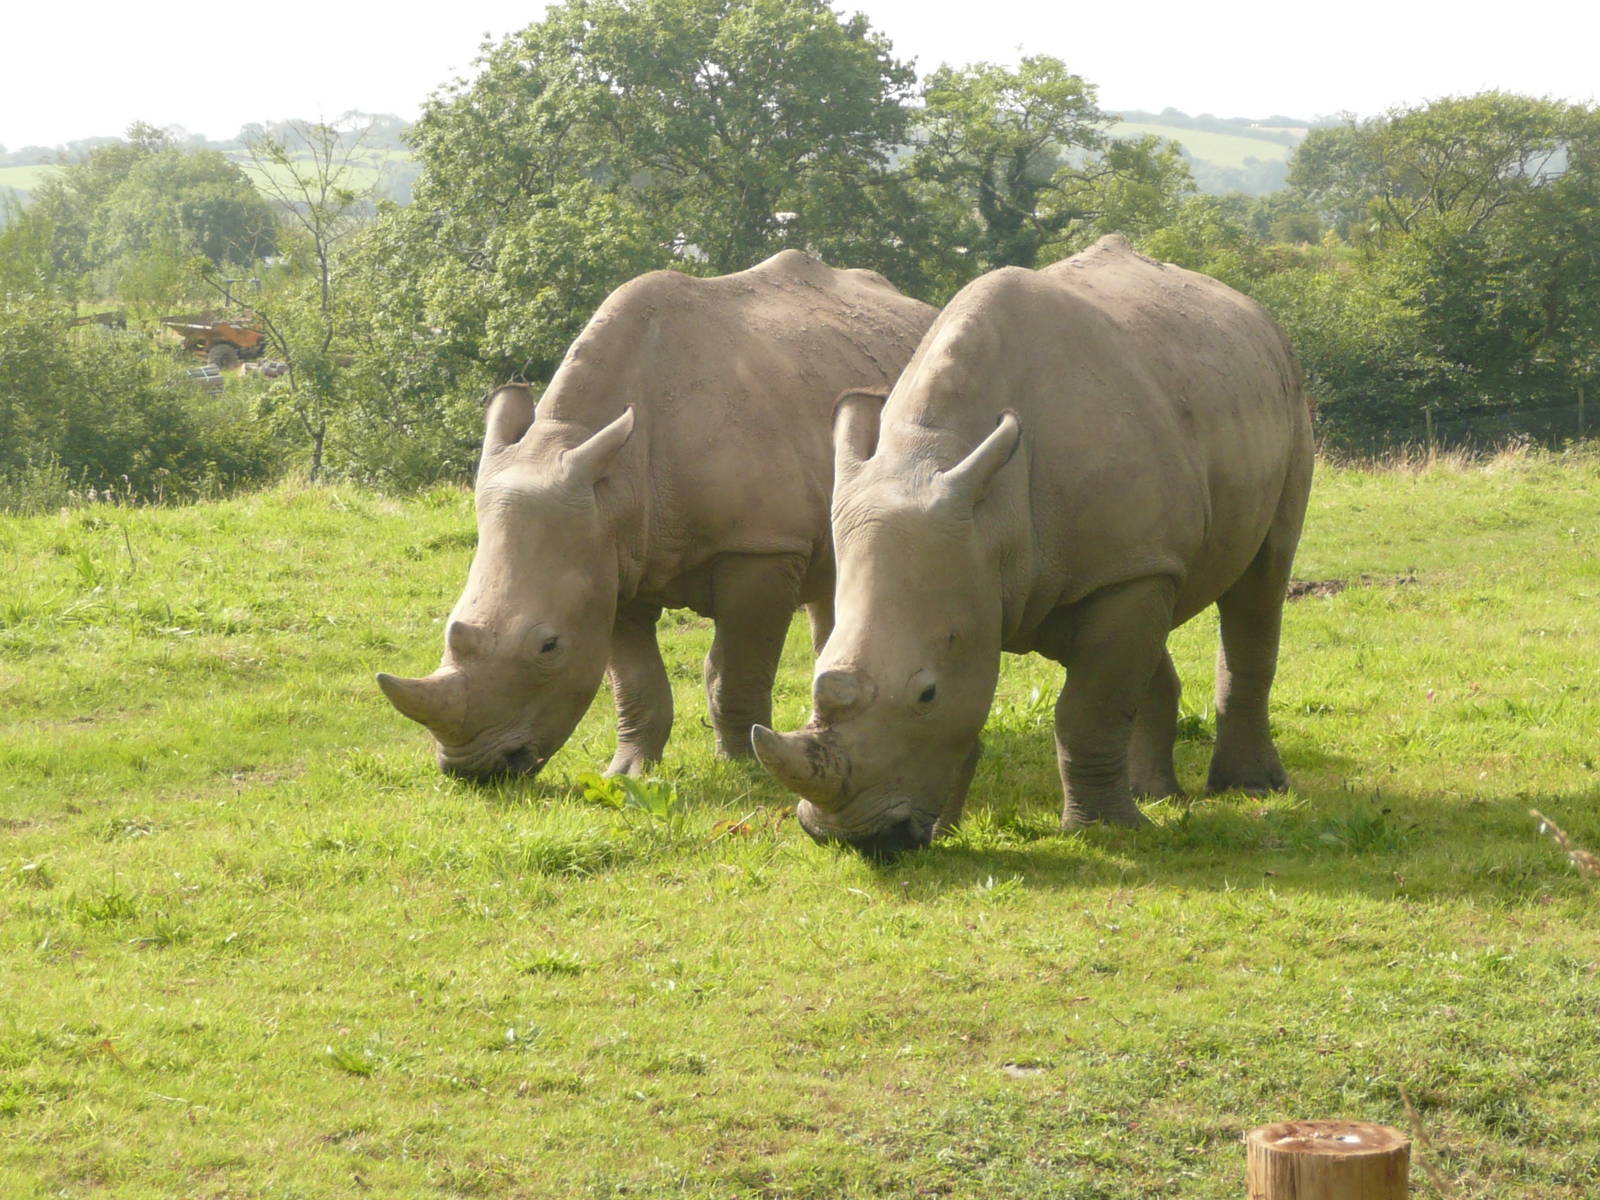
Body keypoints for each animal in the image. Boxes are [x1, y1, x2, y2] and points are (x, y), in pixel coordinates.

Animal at [377, 250, 936, 779]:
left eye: (549, 646)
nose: (473, 770)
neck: (614, 483)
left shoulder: (761, 545)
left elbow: (736, 669)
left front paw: (744, 764)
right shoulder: (608, 556)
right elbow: (635, 681)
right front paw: (630, 770)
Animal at [753, 235, 1314, 856]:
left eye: (926, 694)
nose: (852, 840)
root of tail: (1254, 312)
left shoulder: (1114, 569)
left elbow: (1088, 710)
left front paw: (1102, 833)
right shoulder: (990, 577)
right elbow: (988, 707)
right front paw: (946, 831)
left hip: (1287, 396)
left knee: (1261, 582)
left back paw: (1250, 789)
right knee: (1154, 622)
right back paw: (1155, 796)